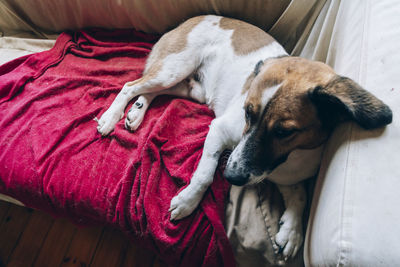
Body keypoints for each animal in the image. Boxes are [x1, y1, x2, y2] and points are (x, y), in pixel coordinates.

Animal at [96, 15, 390, 262]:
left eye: (284, 132)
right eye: (247, 112)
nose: (231, 177)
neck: (291, 159)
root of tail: (193, 19)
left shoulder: (287, 174)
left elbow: (301, 195)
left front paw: (292, 231)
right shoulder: (219, 130)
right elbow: (204, 175)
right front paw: (188, 201)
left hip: (190, 88)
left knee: (152, 92)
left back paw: (137, 113)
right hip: (173, 69)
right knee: (131, 86)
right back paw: (111, 118)